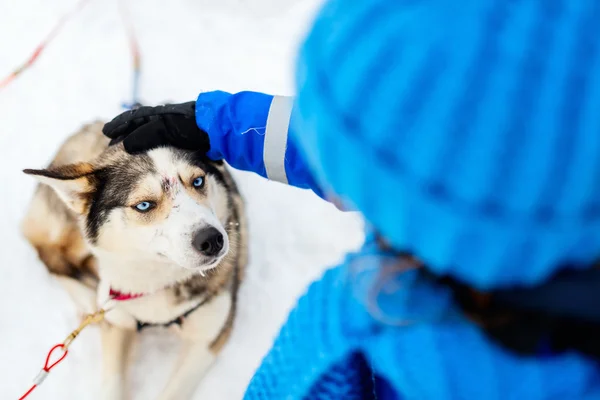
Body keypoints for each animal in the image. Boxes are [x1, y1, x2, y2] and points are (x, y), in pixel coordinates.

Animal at [21, 122, 246, 400]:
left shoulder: (208, 340)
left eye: (198, 181)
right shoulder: (117, 324)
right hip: (72, 234)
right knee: (50, 254)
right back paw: (88, 299)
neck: (156, 280)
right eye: (144, 205)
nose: (212, 240)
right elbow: (112, 385)